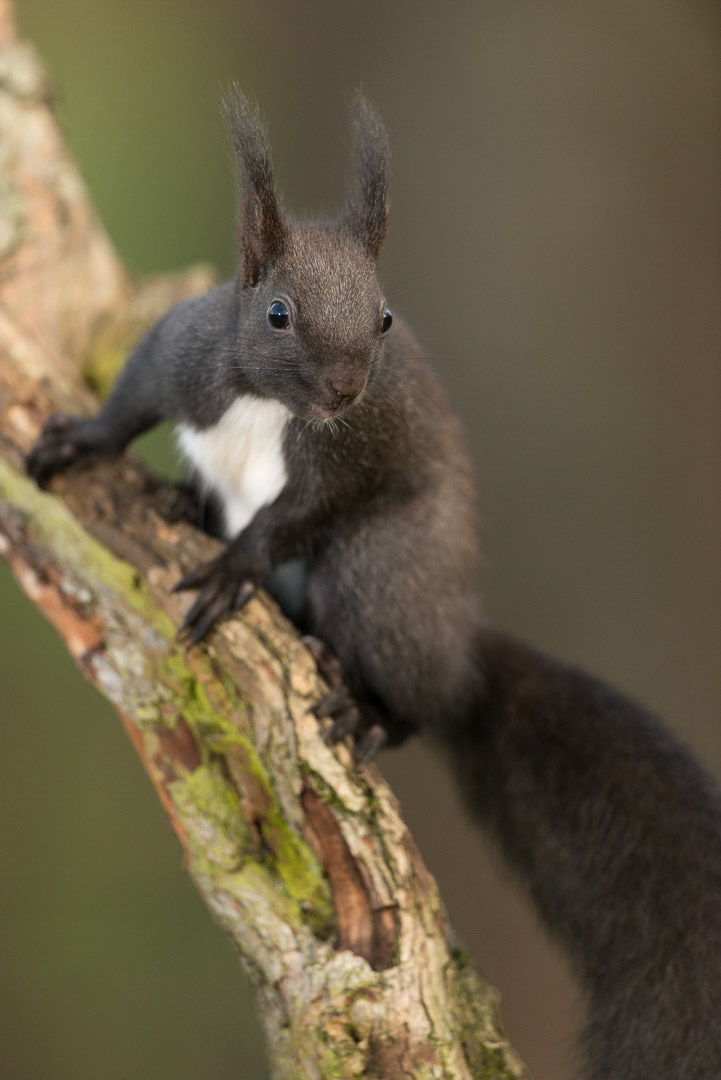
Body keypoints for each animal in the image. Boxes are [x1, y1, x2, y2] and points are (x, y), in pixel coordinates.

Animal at [26, 88, 721, 1078]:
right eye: (276, 313)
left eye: (386, 317)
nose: (347, 388)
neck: (275, 404)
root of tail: (460, 646)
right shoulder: (178, 354)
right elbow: (126, 406)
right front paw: (74, 442)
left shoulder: (351, 461)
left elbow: (294, 517)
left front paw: (233, 568)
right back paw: (187, 502)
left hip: (375, 579)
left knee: (414, 697)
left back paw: (364, 707)